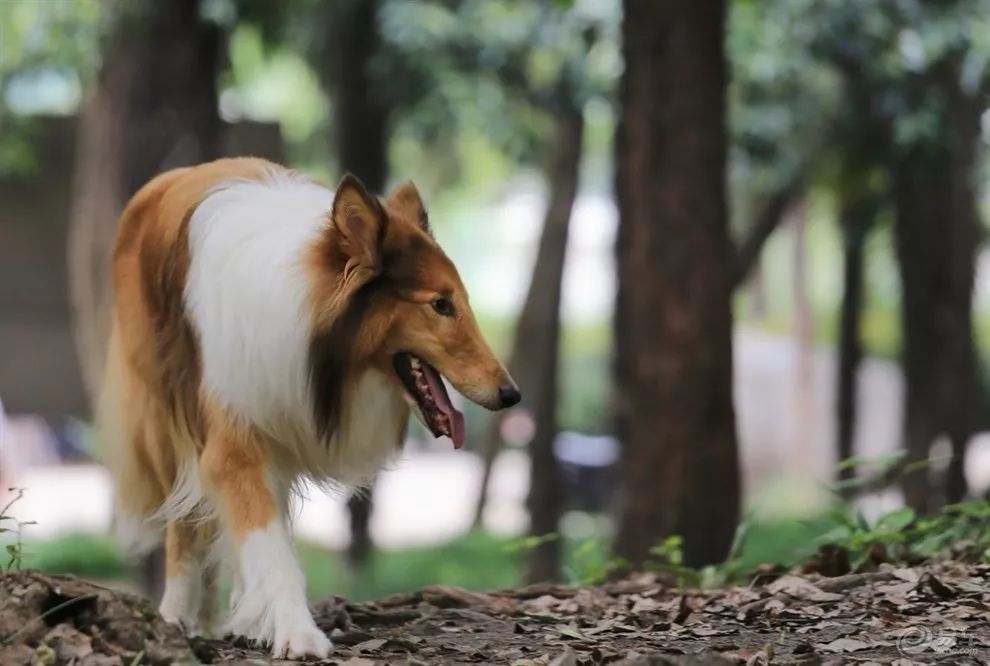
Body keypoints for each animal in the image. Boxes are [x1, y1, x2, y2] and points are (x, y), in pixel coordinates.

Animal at [100, 157, 520, 660]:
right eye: (440, 305)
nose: (511, 395)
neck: (307, 327)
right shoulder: (231, 440)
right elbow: (265, 543)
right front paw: (296, 632)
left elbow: (264, 538)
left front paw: (266, 618)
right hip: (168, 414)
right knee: (184, 521)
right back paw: (179, 615)